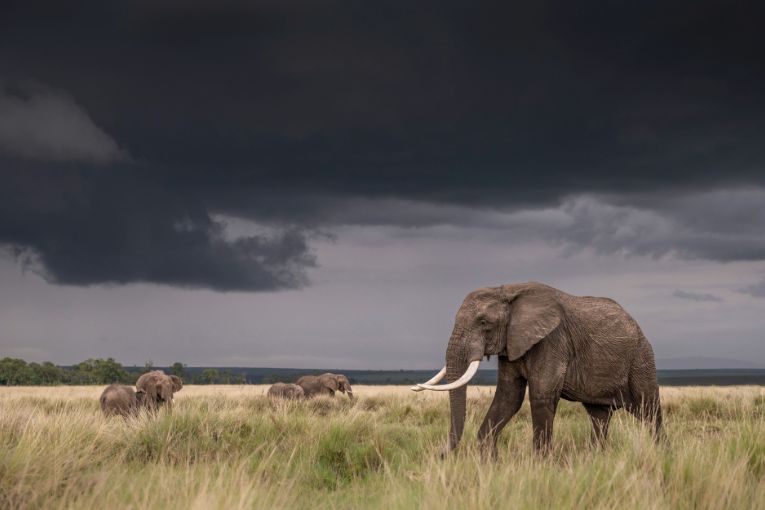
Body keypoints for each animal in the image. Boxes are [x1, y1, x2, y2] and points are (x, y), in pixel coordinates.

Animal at [412, 282, 664, 454]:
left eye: (483, 322)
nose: (441, 454)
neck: (507, 291)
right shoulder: (512, 343)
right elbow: (508, 398)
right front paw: (489, 465)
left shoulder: (553, 340)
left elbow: (541, 395)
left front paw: (542, 465)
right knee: (599, 416)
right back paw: (596, 458)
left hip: (641, 358)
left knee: (649, 409)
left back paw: (662, 454)